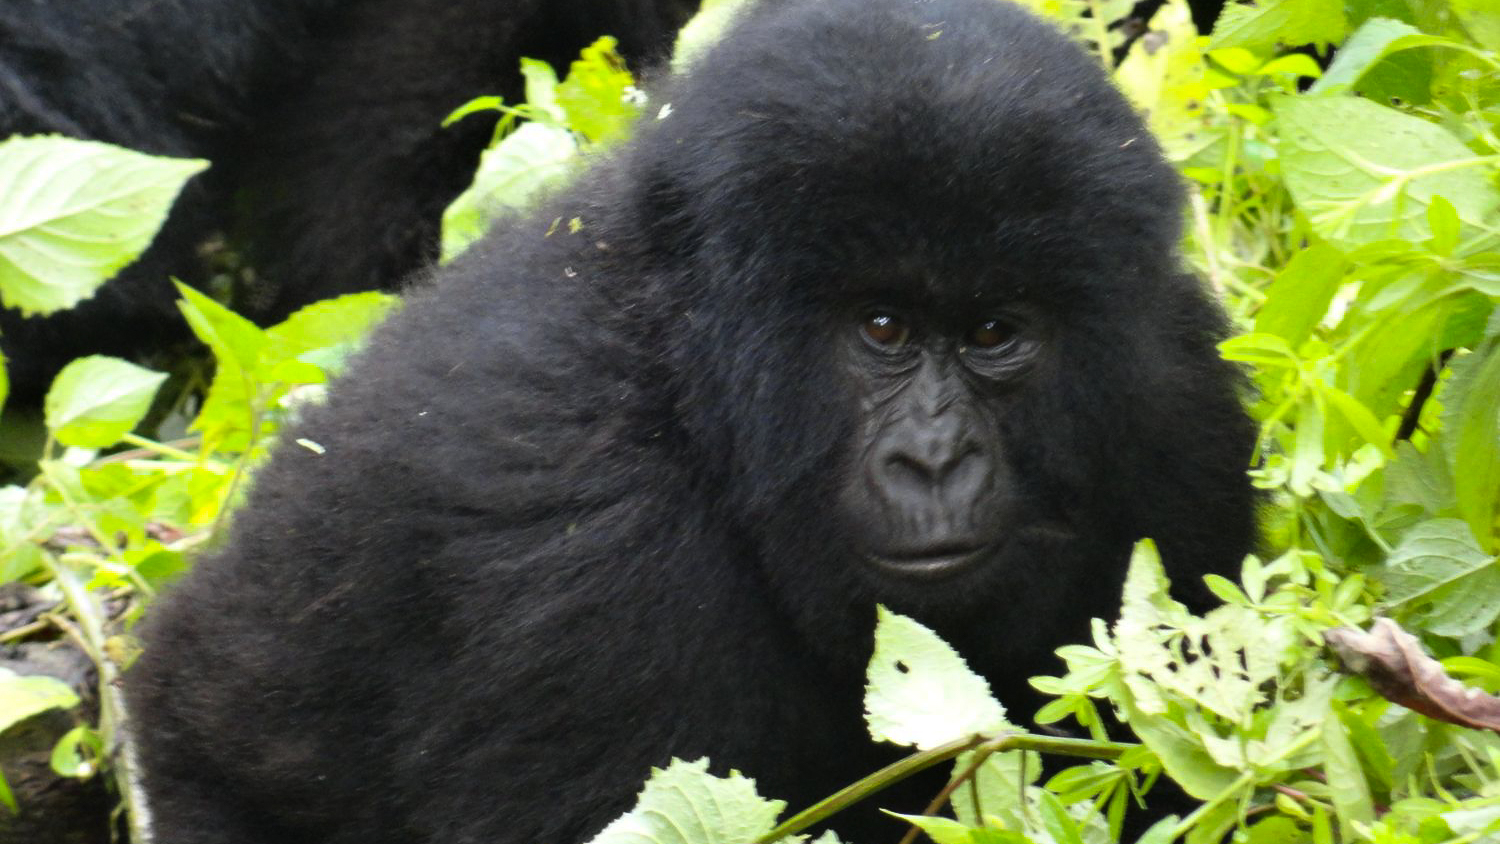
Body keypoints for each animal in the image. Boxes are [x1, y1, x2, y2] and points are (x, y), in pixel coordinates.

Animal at [129, 0, 1260, 839]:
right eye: (883, 327)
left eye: (994, 331)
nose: (934, 460)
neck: (695, 373)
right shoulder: (584, 541)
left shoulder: (1177, 405)